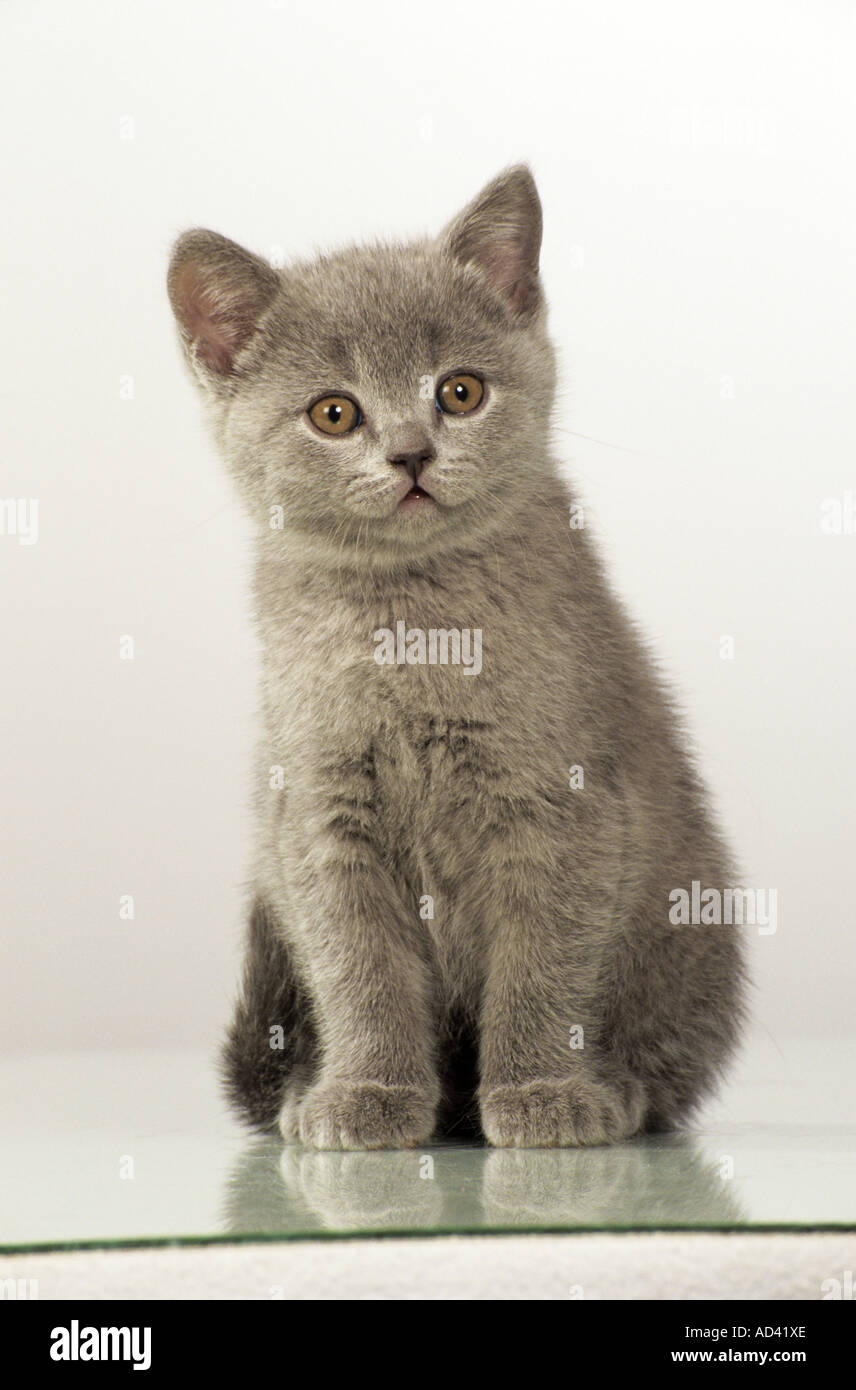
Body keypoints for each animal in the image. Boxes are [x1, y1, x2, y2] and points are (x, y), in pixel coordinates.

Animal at [165, 165, 744, 1150]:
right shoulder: (320, 816)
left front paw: (542, 1091)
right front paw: (369, 1093)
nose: (410, 453)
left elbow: (544, 966)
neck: (412, 627)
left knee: (669, 1065)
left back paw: (612, 1091)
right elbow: (359, 970)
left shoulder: (566, 807)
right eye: (334, 413)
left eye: (462, 392)